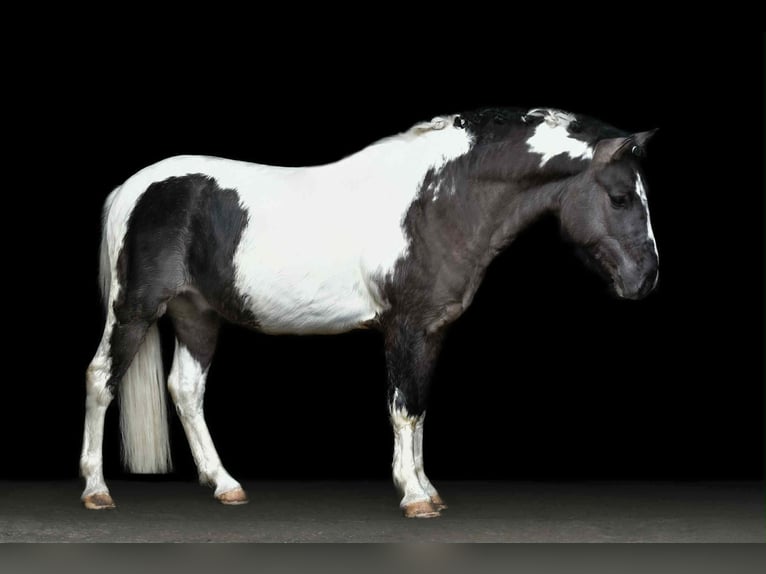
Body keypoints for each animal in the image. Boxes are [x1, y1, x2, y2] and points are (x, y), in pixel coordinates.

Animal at [80, 107, 659, 518]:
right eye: (621, 197)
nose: (647, 278)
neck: (435, 202)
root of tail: (132, 187)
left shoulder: (432, 330)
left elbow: (420, 405)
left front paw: (427, 488)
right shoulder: (404, 326)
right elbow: (402, 407)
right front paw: (415, 497)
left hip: (196, 314)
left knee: (185, 390)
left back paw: (225, 486)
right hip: (134, 310)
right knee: (102, 379)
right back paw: (97, 490)